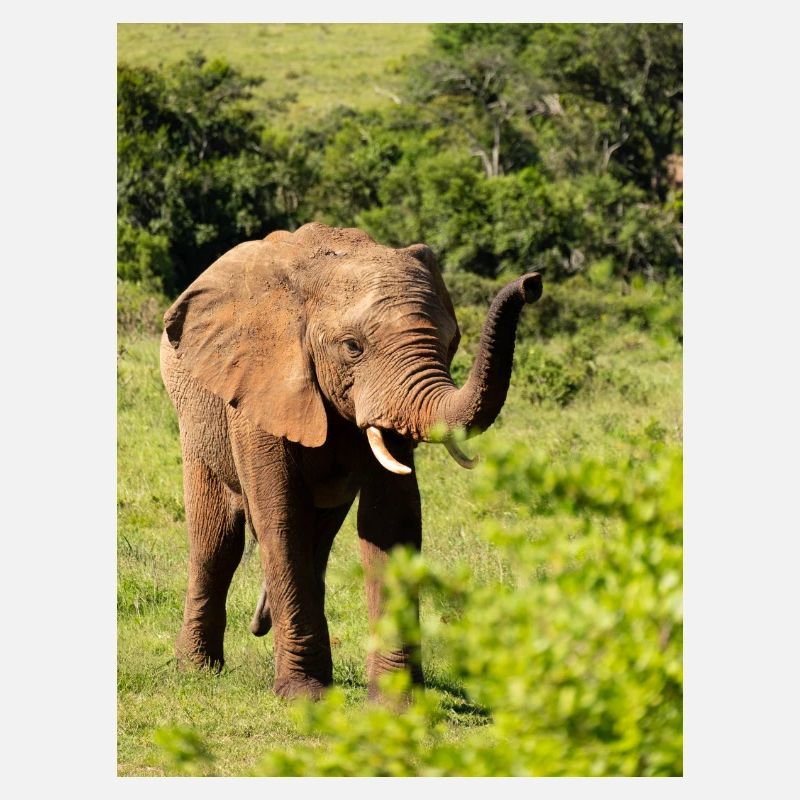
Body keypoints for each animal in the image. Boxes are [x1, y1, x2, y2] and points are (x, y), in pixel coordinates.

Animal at [160, 222, 542, 700]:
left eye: (451, 342)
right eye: (352, 347)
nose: (532, 283)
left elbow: (390, 520)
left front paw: (398, 701)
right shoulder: (260, 387)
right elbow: (280, 515)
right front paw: (304, 695)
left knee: (317, 541)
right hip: (196, 415)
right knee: (216, 539)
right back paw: (197, 669)